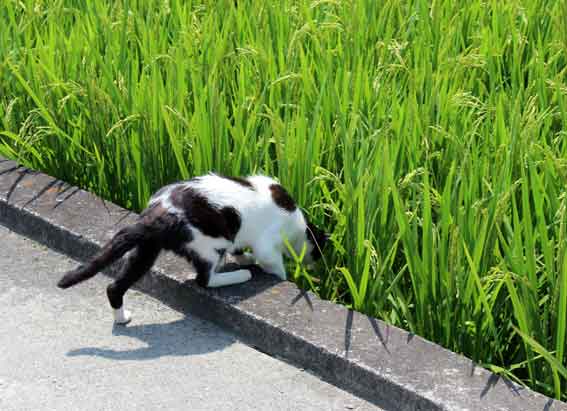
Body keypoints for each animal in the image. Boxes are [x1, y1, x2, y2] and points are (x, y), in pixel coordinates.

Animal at [57, 173, 329, 324]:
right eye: (319, 253)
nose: (318, 267)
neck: (298, 224)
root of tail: (157, 212)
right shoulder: (268, 247)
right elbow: (274, 266)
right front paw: (283, 277)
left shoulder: (239, 237)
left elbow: (240, 250)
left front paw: (245, 258)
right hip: (208, 246)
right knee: (204, 280)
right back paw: (240, 276)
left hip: (147, 249)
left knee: (115, 286)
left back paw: (121, 318)